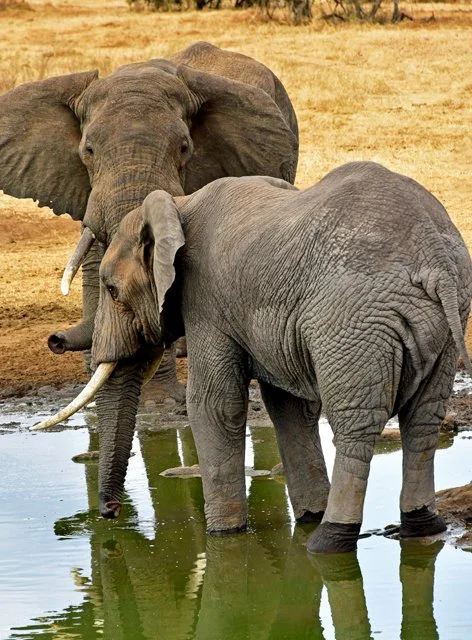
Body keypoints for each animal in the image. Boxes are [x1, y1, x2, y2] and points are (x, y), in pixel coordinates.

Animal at [36, 161, 472, 553]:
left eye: (111, 289)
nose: (110, 512)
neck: (178, 205)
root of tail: (433, 259)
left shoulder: (206, 301)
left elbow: (215, 405)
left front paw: (223, 536)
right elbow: (290, 408)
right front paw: (308, 515)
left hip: (351, 320)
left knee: (356, 425)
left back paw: (328, 541)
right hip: (442, 326)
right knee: (423, 420)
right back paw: (419, 527)